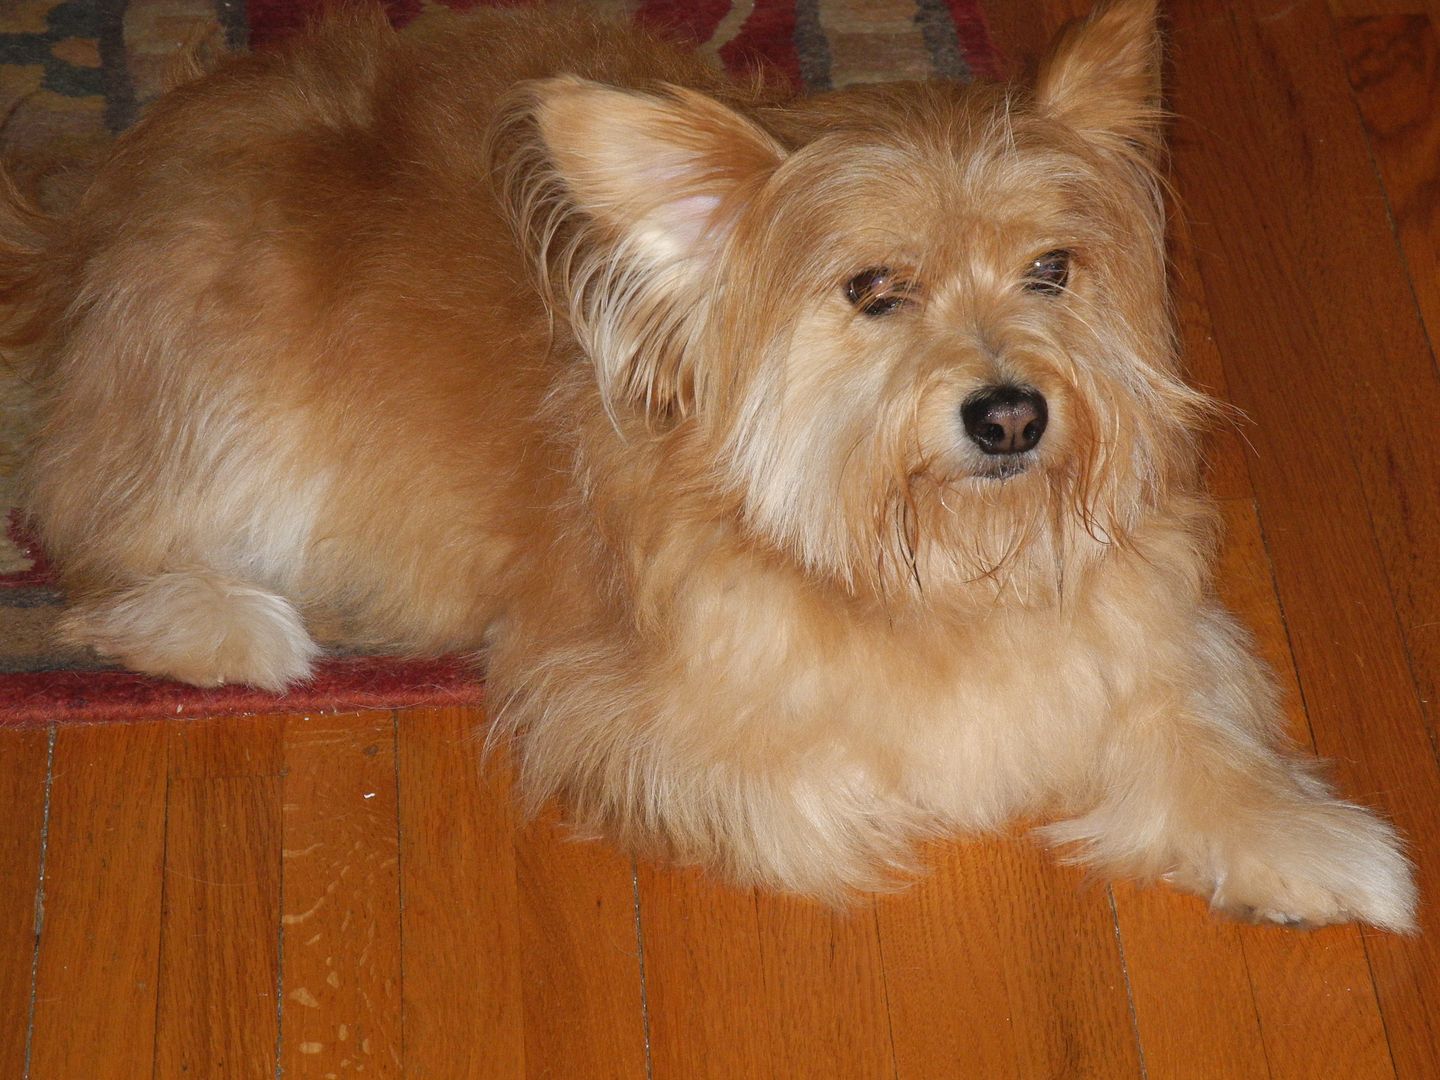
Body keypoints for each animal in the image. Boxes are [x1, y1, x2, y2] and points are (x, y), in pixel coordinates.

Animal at [0, 0, 1416, 933]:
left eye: (1052, 271)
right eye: (874, 291)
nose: (1013, 415)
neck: (931, 565)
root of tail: (86, 220)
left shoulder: (1148, 634)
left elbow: (1193, 731)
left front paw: (1313, 848)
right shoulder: (625, 707)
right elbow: (839, 775)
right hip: (228, 420)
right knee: (92, 555)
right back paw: (232, 626)